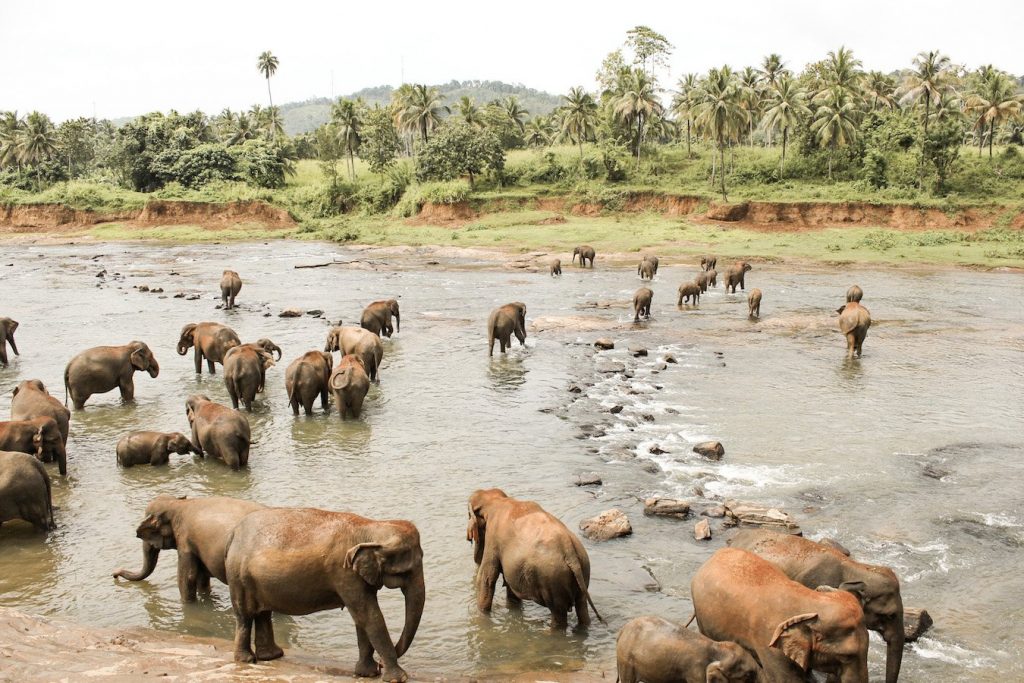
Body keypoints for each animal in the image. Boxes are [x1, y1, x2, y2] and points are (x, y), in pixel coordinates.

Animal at [224, 507, 425, 683]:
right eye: (405, 572)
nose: (381, 664)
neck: (372, 526)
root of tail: (234, 533)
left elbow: (361, 618)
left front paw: (367, 673)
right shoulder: (345, 572)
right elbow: (370, 615)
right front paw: (398, 678)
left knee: (263, 614)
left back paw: (272, 656)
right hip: (238, 577)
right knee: (245, 615)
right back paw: (247, 660)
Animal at [466, 488, 601, 628]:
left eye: (469, 515)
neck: (497, 500)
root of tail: (569, 549)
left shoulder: (493, 537)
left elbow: (486, 578)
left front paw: (482, 616)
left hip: (553, 578)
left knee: (558, 613)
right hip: (583, 568)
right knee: (582, 606)